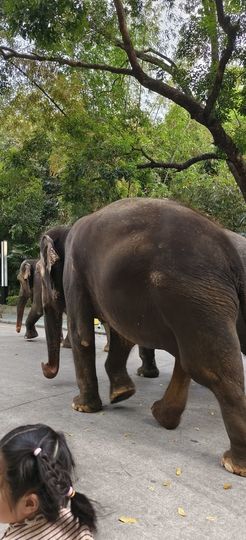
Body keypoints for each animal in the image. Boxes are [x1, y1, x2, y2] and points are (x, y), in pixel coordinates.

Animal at [39, 198, 246, 476]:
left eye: (41, 276)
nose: (45, 367)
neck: (67, 230)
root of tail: (229, 253)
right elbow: (121, 335)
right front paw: (122, 394)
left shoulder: (75, 274)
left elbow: (82, 334)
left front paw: (80, 407)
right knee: (189, 359)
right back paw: (162, 416)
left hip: (195, 295)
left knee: (208, 369)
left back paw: (233, 463)